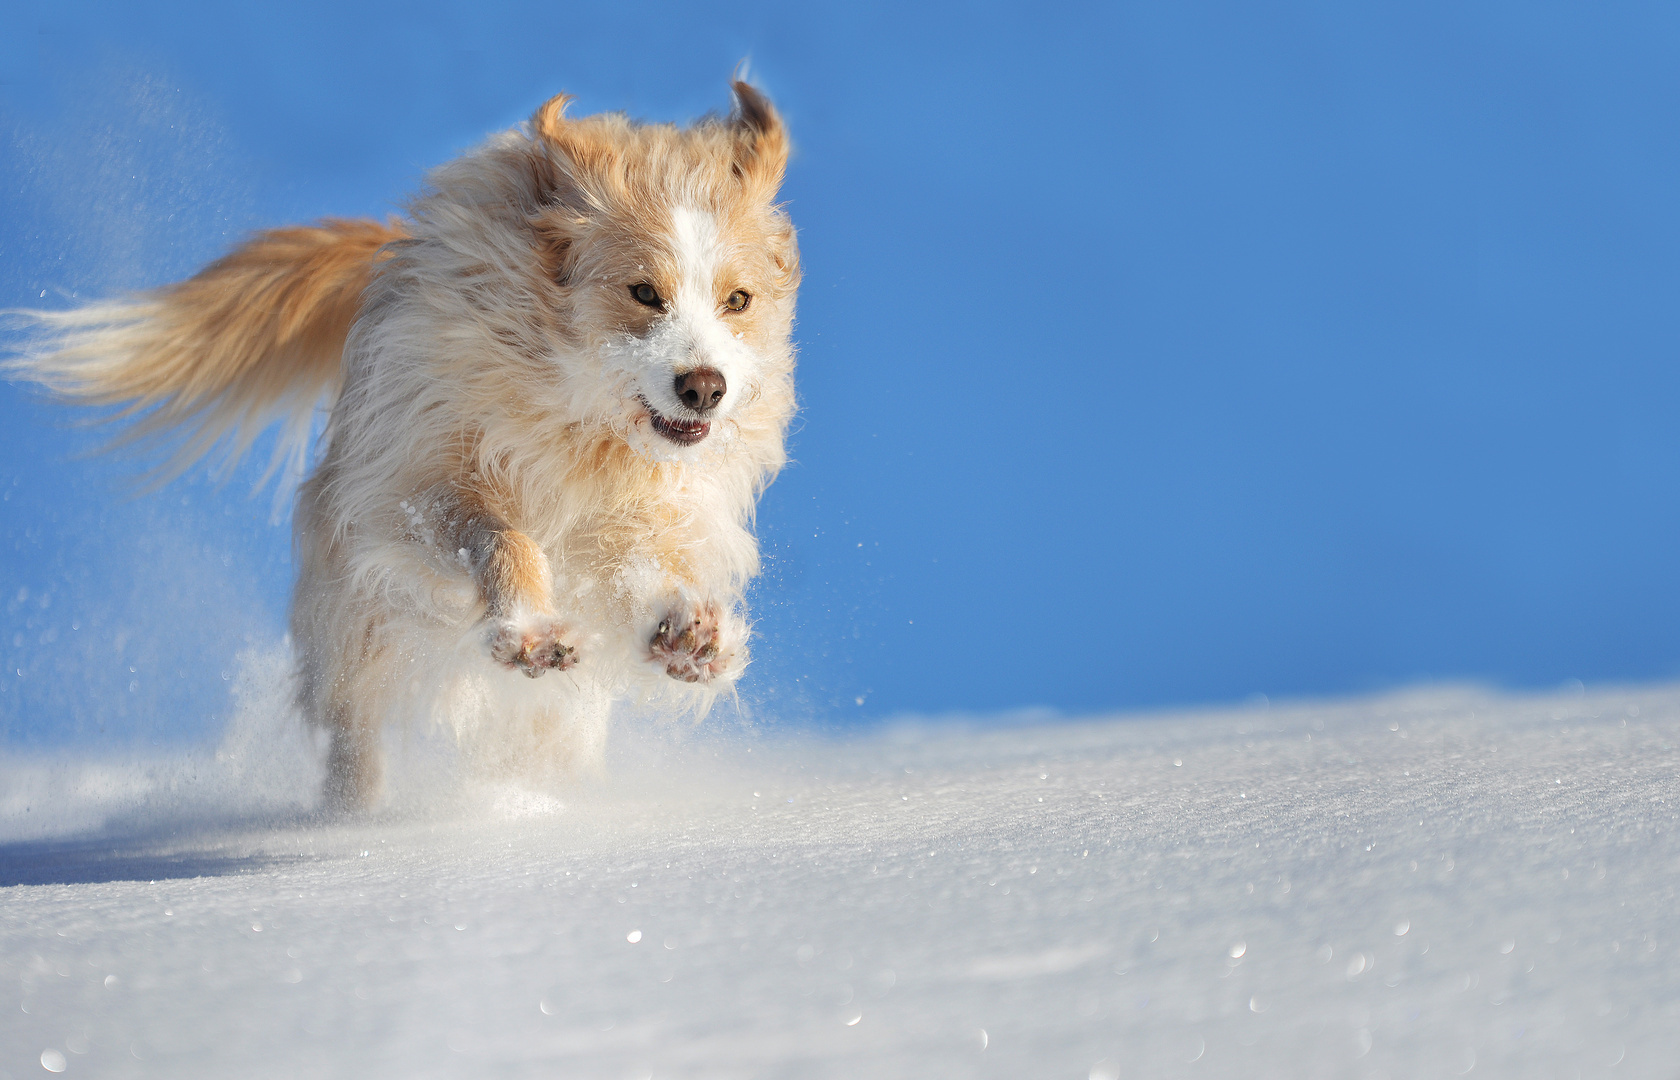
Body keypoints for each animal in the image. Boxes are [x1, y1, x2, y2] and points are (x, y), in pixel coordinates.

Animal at [8, 80, 799, 806]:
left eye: (737, 301)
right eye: (643, 292)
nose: (704, 388)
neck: (579, 412)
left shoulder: (638, 514)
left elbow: (645, 570)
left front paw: (688, 632)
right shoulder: (413, 492)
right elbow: (504, 539)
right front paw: (530, 630)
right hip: (358, 632)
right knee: (356, 733)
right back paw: (353, 822)